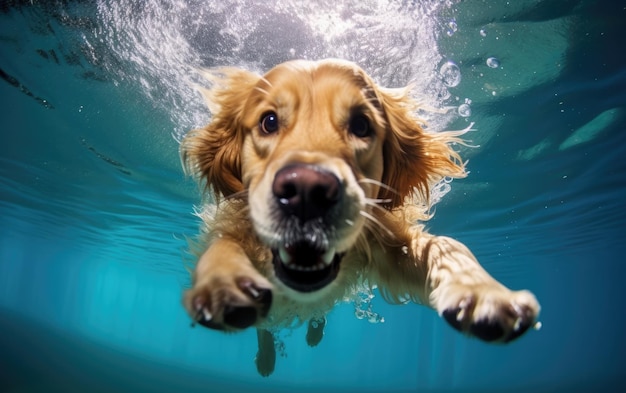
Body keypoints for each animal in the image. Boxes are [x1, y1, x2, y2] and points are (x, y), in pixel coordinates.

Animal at [179, 58, 536, 374]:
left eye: (361, 125)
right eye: (269, 121)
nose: (306, 192)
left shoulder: (389, 247)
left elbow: (449, 246)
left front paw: (481, 292)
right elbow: (223, 245)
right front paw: (222, 282)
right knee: (265, 328)